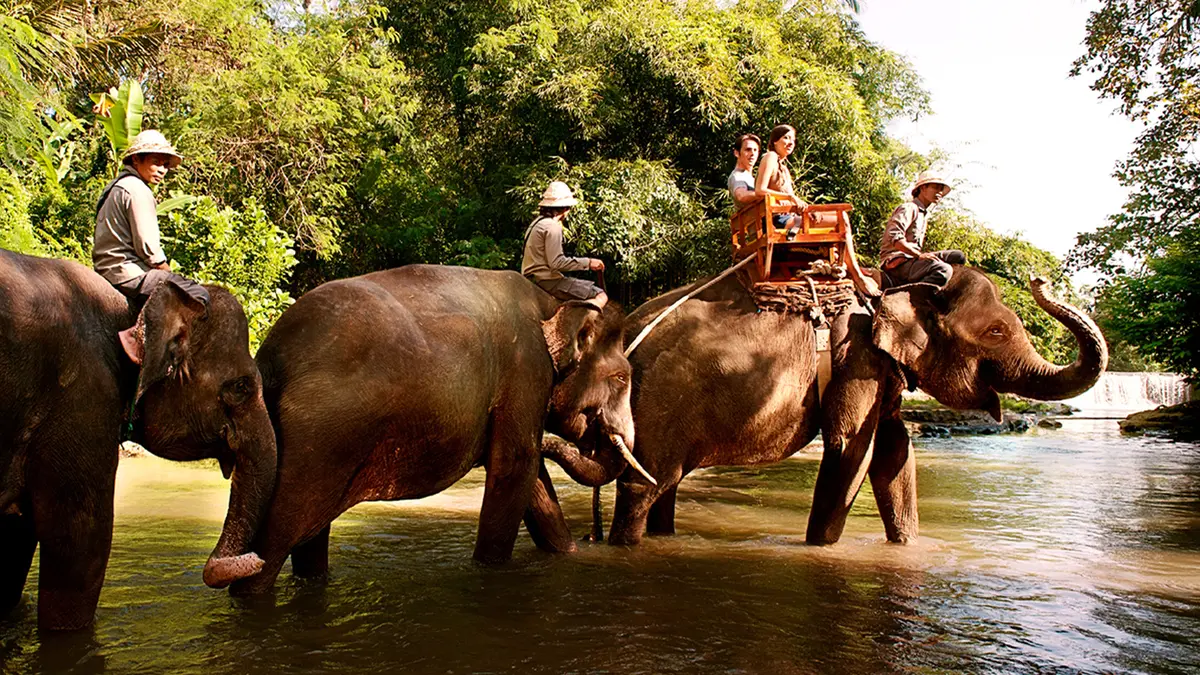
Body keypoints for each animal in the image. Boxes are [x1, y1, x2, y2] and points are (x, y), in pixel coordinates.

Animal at [0, 249, 276, 630]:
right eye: (241, 386)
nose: (255, 559)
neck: (130, 311)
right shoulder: (83, 398)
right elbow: (80, 541)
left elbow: (15, 538)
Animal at [217, 264, 635, 594]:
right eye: (621, 377)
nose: (592, 537)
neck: (549, 303)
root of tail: (271, 357)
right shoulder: (525, 372)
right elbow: (515, 466)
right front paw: (490, 572)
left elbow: (533, 481)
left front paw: (569, 555)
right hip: (316, 440)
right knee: (277, 536)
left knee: (309, 535)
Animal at [545, 265, 1107, 546]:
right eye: (996, 332)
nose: (1039, 280)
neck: (889, 289)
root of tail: (626, 334)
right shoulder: (856, 357)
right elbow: (851, 450)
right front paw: (821, 549)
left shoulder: (879, 368)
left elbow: (894, 454)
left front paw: (907, 548)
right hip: (657, 404)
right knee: (643, 486)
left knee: (667, 483)